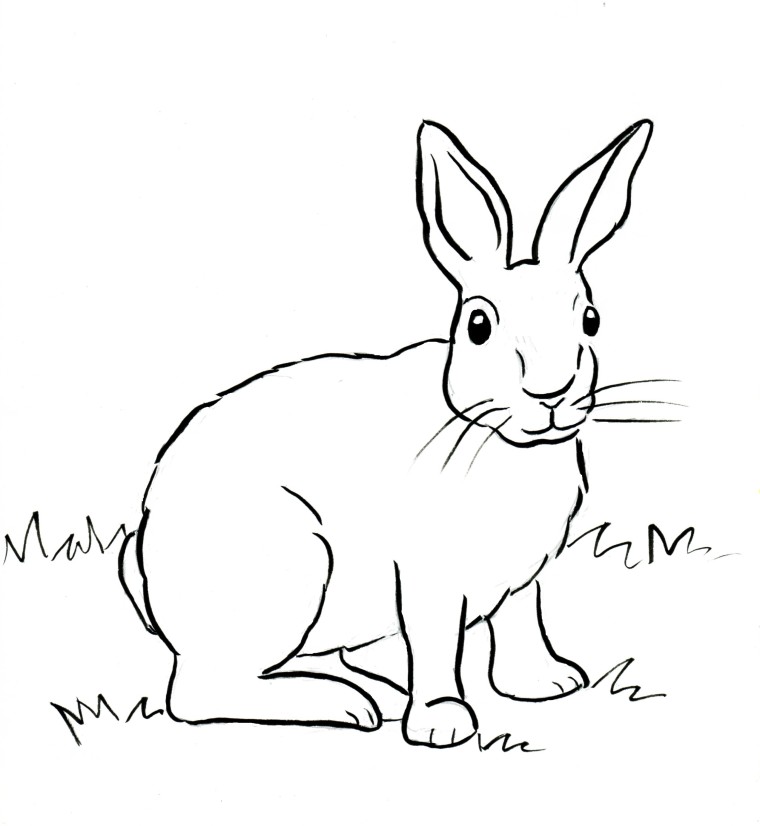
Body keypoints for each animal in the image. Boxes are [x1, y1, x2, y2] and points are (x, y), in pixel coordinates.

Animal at [119, 117, 653, 748]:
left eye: (590, 320)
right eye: (478, 326)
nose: (550, 393)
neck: (495, 437)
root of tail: (145, 554)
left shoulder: (524, 576)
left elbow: (522, 621)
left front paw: (548, 682)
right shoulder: (429, 574)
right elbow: (436, 642)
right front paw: (443, 723)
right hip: (287, 569)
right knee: (201, 693)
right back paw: (346, 705)